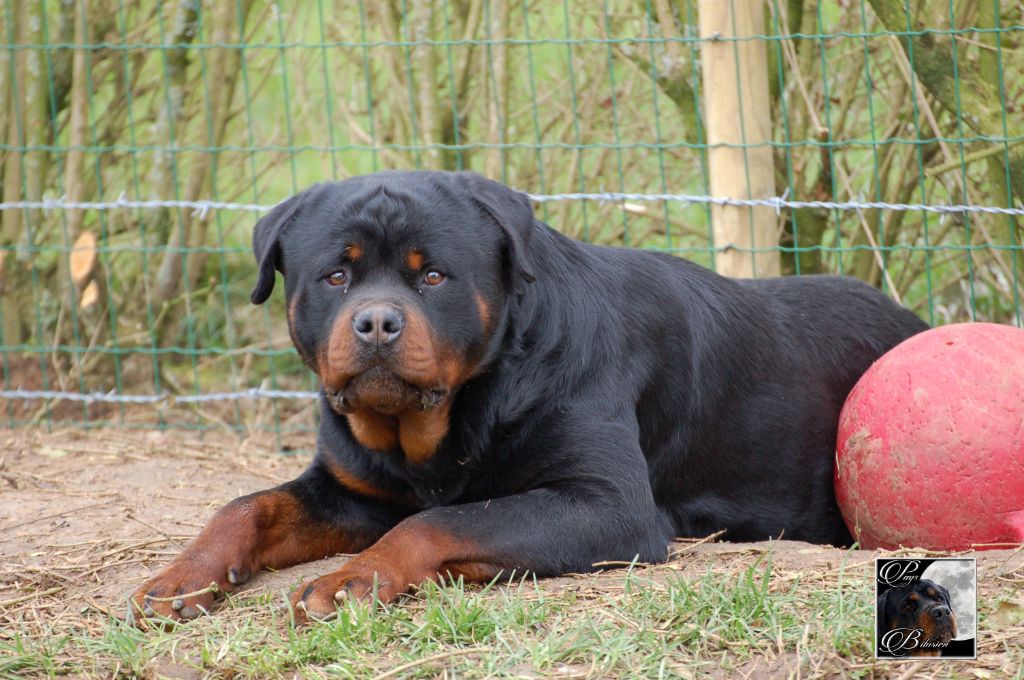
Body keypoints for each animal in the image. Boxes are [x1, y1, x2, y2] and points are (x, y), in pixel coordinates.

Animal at [130, 170, 929, 622]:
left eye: (432, 276)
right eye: (336, 276)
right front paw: (180, 577)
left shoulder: (607, 506)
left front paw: (354, 579)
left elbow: (439, 520)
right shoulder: (352, 489)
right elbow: (248, 506)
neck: (445, 422)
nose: (377, 322)